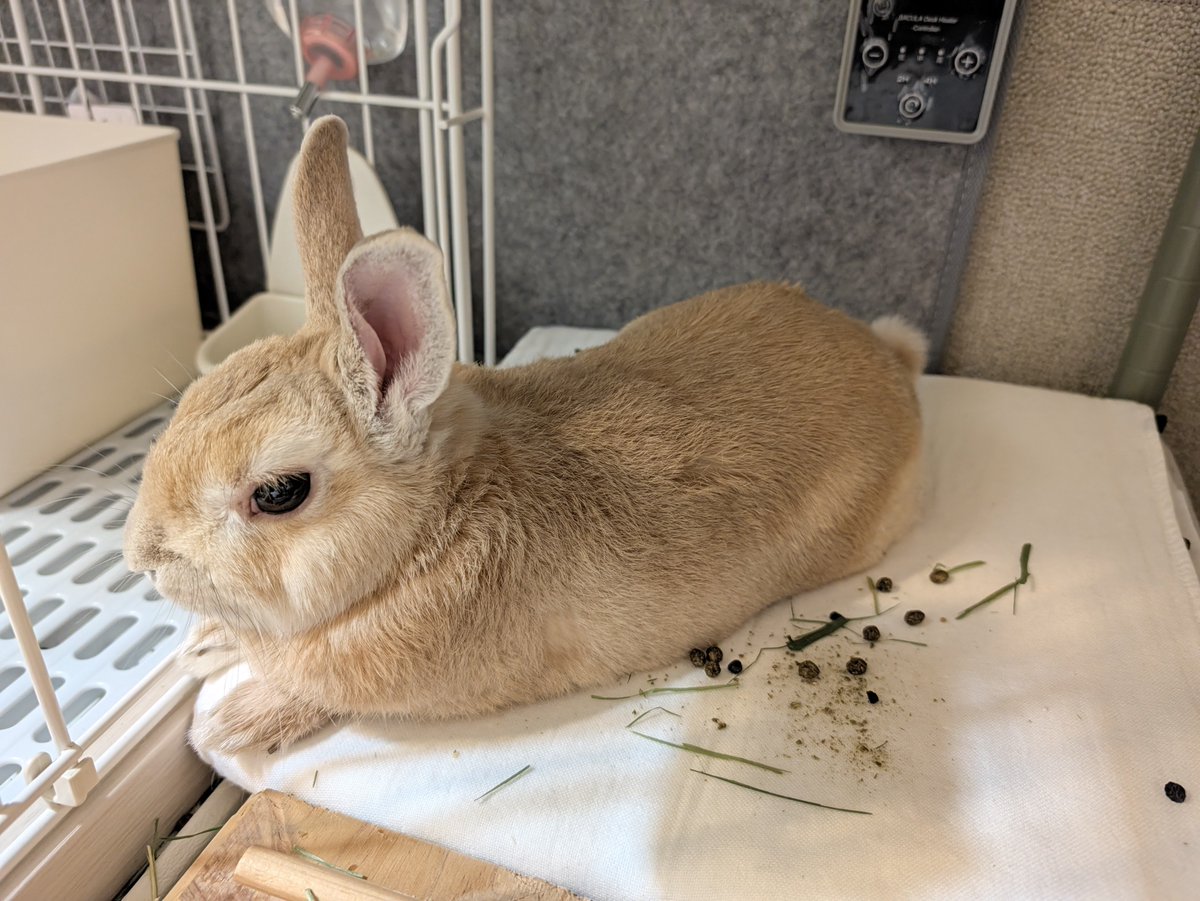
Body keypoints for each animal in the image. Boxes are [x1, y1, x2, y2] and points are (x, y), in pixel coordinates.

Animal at [123, 116, 927, 755]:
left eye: (278, 493)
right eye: (191, 399)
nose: (141, 558)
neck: (431, 528)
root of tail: (892, 360)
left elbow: (319, 696)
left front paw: (230, 723)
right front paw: (205, 646)